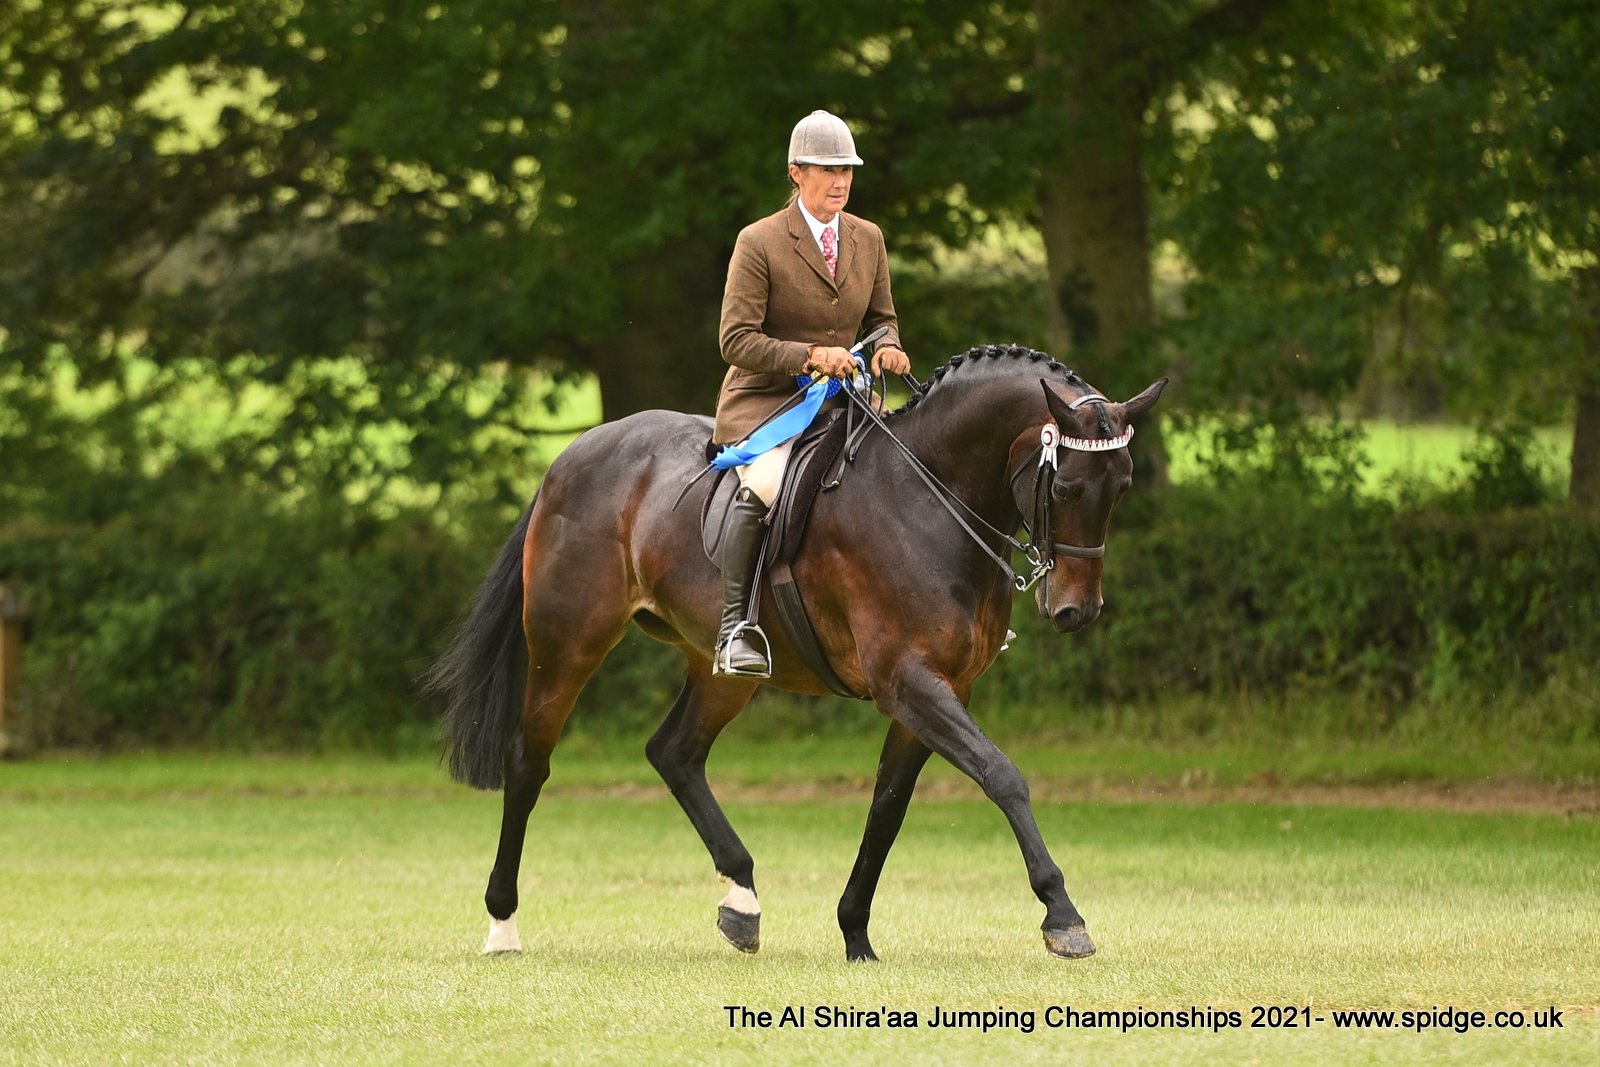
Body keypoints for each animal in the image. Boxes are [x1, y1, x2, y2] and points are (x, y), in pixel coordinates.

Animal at [427, 343, 1166, 961]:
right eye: (1065, 488)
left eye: (1123, 486)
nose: (1076, 611)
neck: (932, 496)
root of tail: (570, 458)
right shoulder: (910, 681)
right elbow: (1002, 775)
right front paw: (1063, 915)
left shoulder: (939, 689)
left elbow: (888, 807)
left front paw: (855, 932)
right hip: (567, 643)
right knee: (528, 764)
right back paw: (502, 924)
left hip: (725, 668)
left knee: (675, 753)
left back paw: (742, 901)